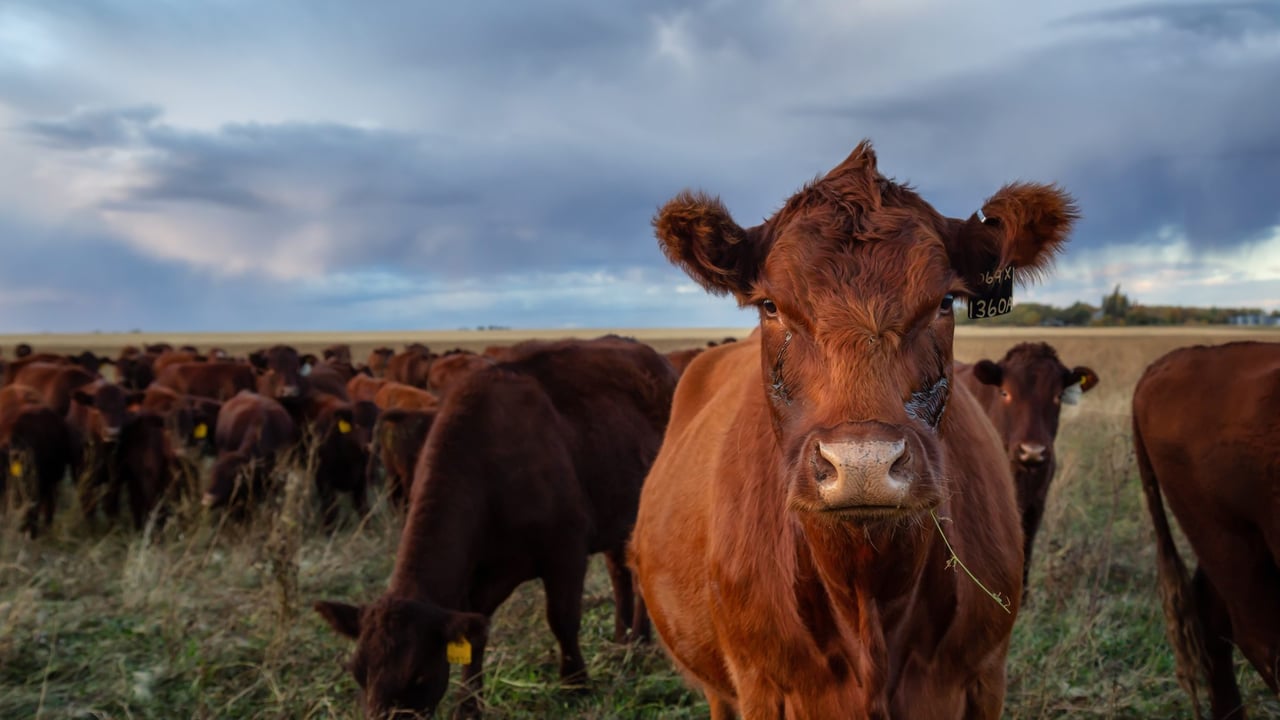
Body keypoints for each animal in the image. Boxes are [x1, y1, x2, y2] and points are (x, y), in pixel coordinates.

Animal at [315, 336, 678, 718]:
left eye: (417, 676)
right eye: (358, 673)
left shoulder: (565, 551)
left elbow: (562, 619)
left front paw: (575, 683)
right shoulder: (477, 580)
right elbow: (476, 637)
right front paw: (468, 704)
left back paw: (638, 642)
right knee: (621, 574)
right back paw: (627, 639)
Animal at [628, 141, 1077, 718]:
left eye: (945, 302)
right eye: (770, 305)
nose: (864, 464)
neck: (868, 597)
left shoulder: (986, 675)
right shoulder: (759, 685)